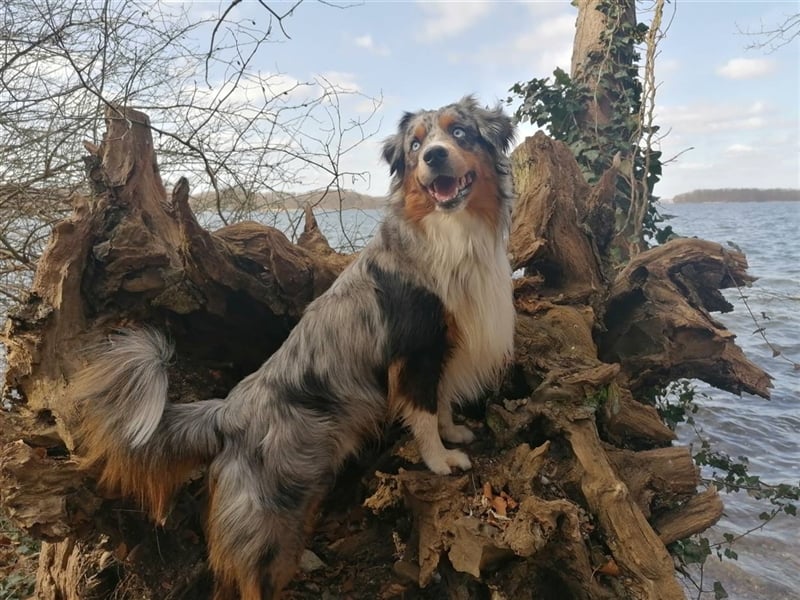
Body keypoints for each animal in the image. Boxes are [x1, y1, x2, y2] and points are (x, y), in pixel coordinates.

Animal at [73, 96, 512, 596]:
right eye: (415, 146)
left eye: (458, 133)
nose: (434, 157)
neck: (448, 231)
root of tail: (228, 413)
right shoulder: (415, 350)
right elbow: (421, 412)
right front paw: (440, 460)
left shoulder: (441, 349)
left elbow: (439, 401)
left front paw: (453, 431)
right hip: (269, 519)